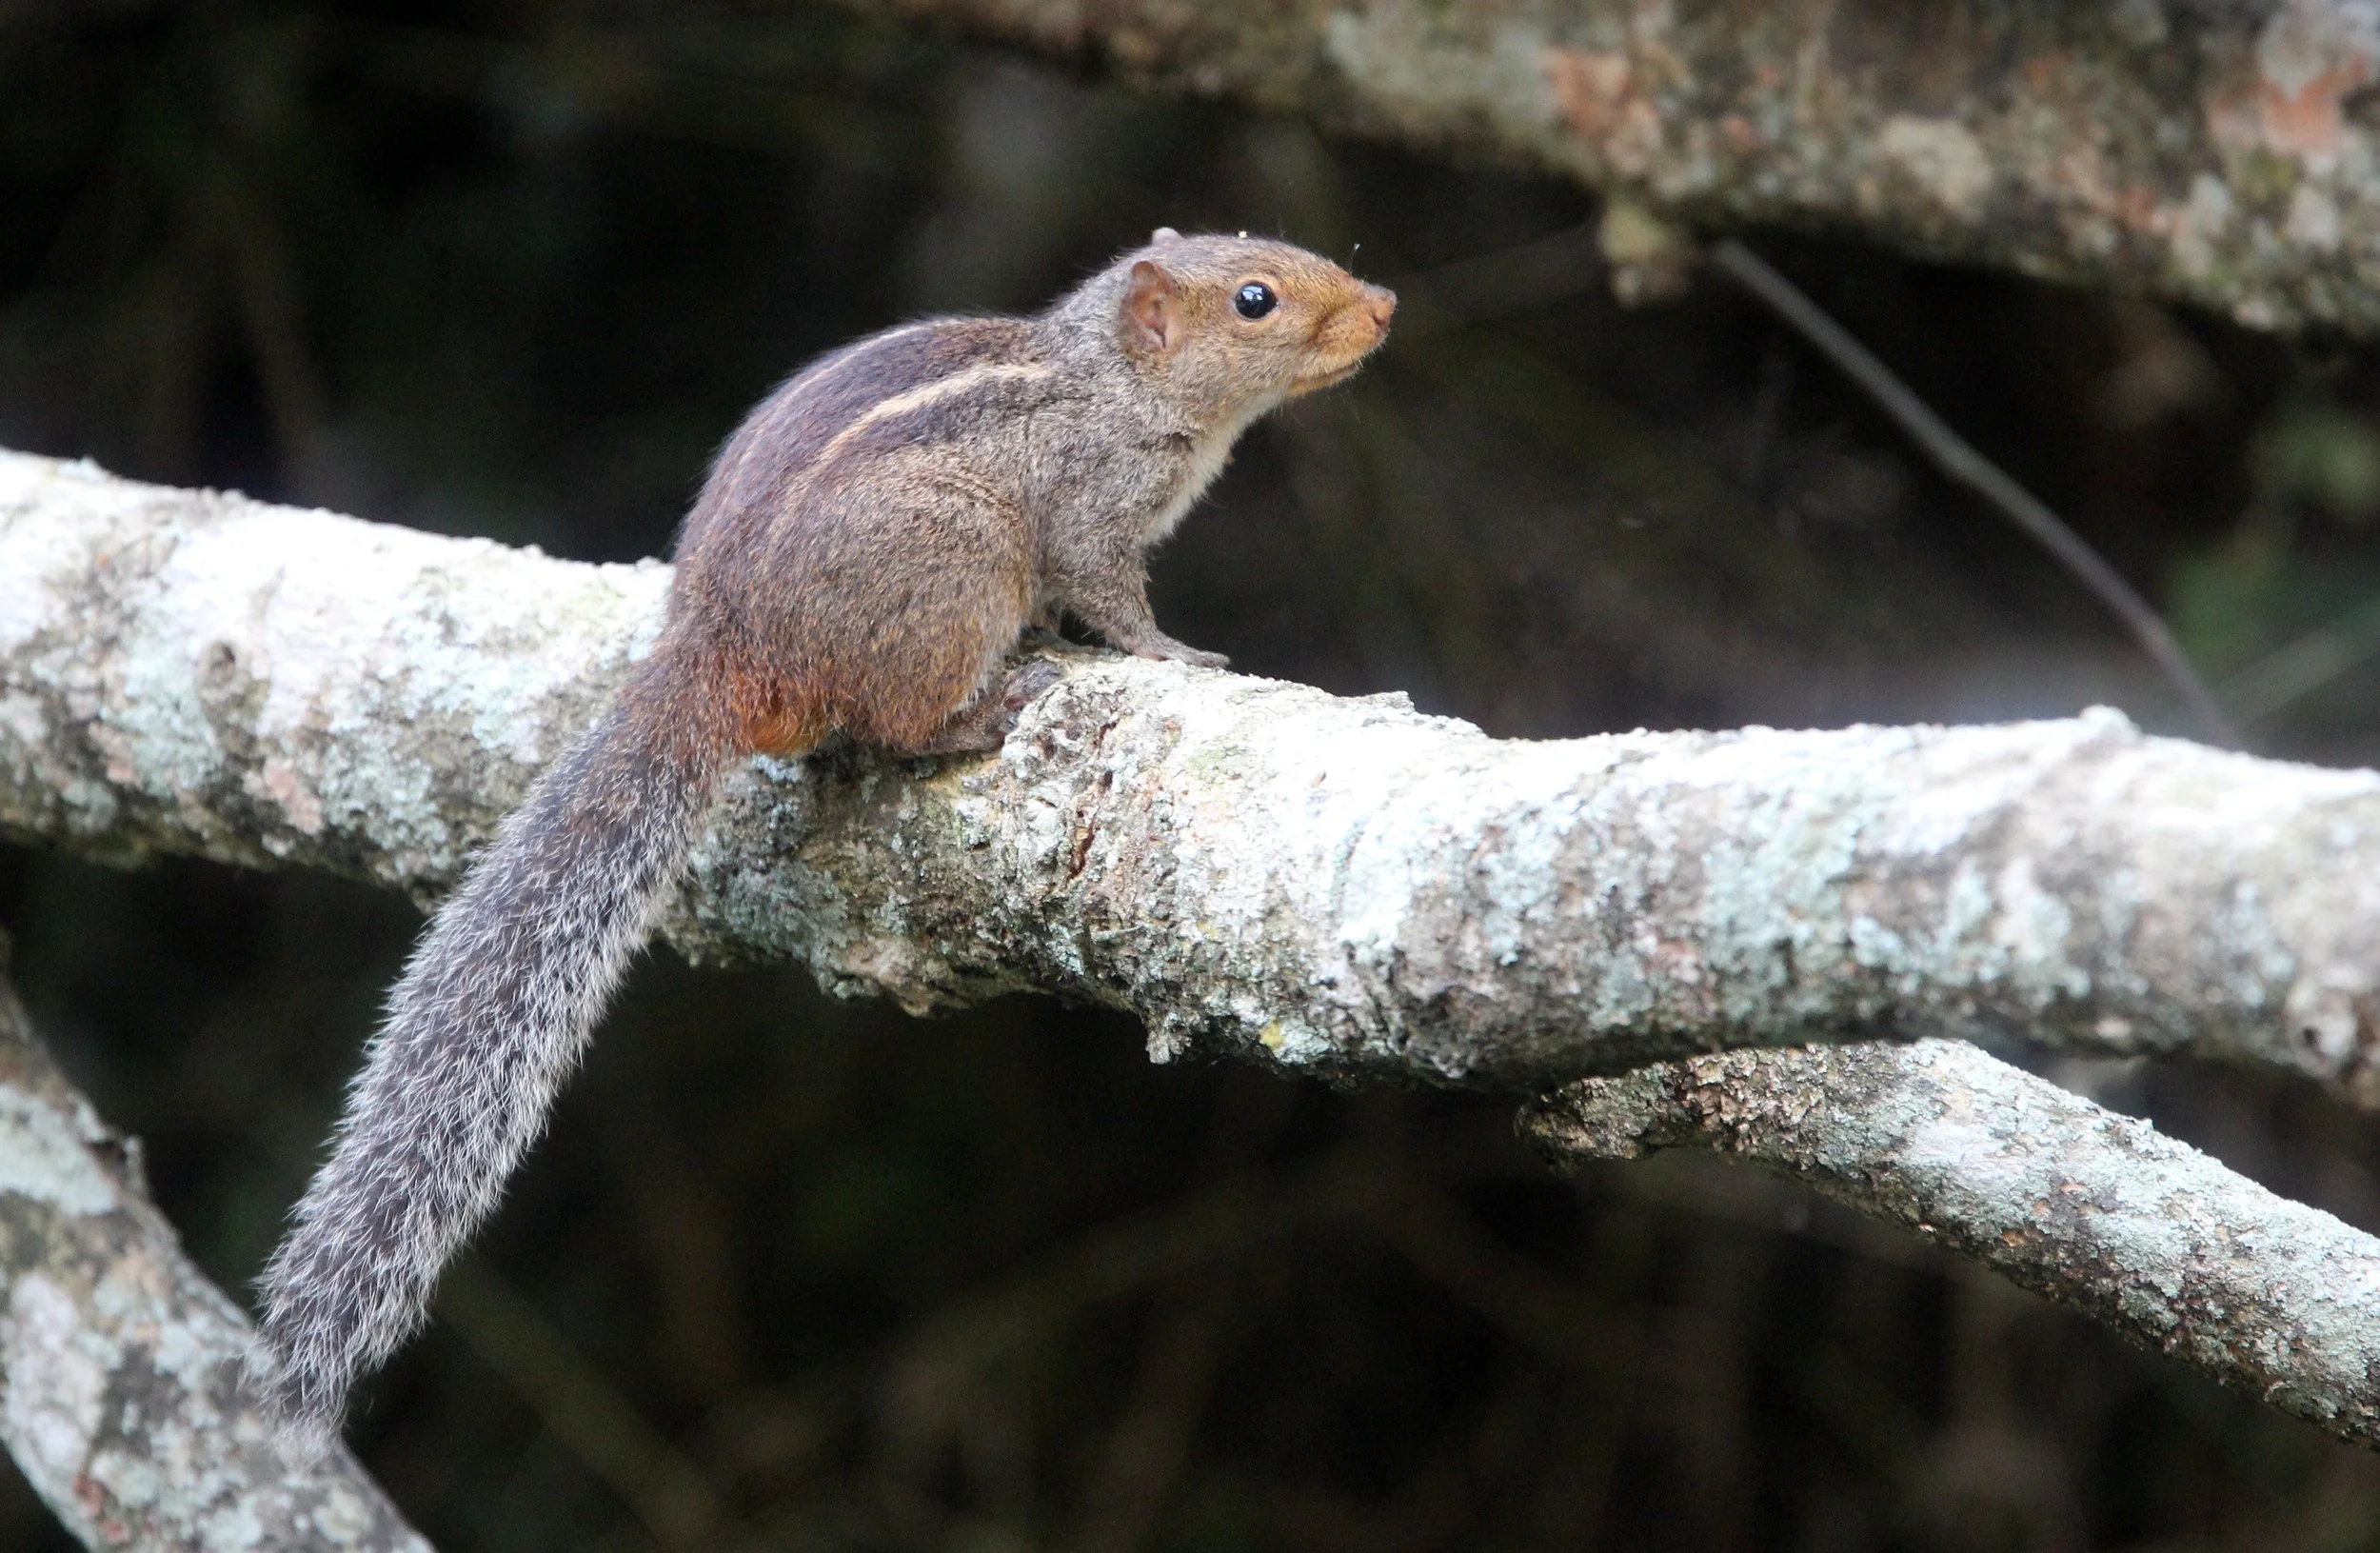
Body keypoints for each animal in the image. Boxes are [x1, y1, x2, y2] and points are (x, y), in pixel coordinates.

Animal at [253, 229, 1395, 1447]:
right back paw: (984, 707)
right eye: (1254, 299)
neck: (1112, 378)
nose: (1382, 303)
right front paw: (1176, 653)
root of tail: (720, 641)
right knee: (897, 720)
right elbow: (1111, 597)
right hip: (957, 563)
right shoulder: (1090, 507)